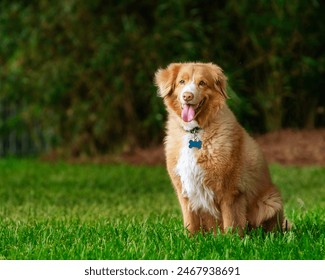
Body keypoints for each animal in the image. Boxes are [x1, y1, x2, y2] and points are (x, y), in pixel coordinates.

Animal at [154, 61, 288, 234]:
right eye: (181, 82)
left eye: (202, 83)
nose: (187, 96)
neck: (195, 131)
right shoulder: (184, 190)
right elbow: (190, 224)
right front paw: (190, 239)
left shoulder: (229, 191)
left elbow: (231, 223)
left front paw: (232, 239)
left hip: (271, 201)